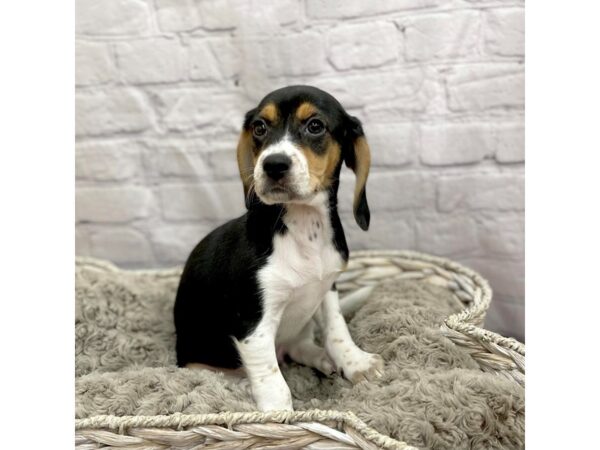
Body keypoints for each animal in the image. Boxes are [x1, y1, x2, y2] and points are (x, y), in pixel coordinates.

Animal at [173, 85, 382, 412]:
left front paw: (355, 362)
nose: (273, 165)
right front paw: (277, 413)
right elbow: (272, 380)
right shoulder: (252, 322)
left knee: (299, 347)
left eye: (315, 126)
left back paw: (321, 358)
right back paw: (243, 384)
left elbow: (336, 330)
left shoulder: (327, 287)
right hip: (198, 362)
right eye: (260, 128)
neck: (303, 224)